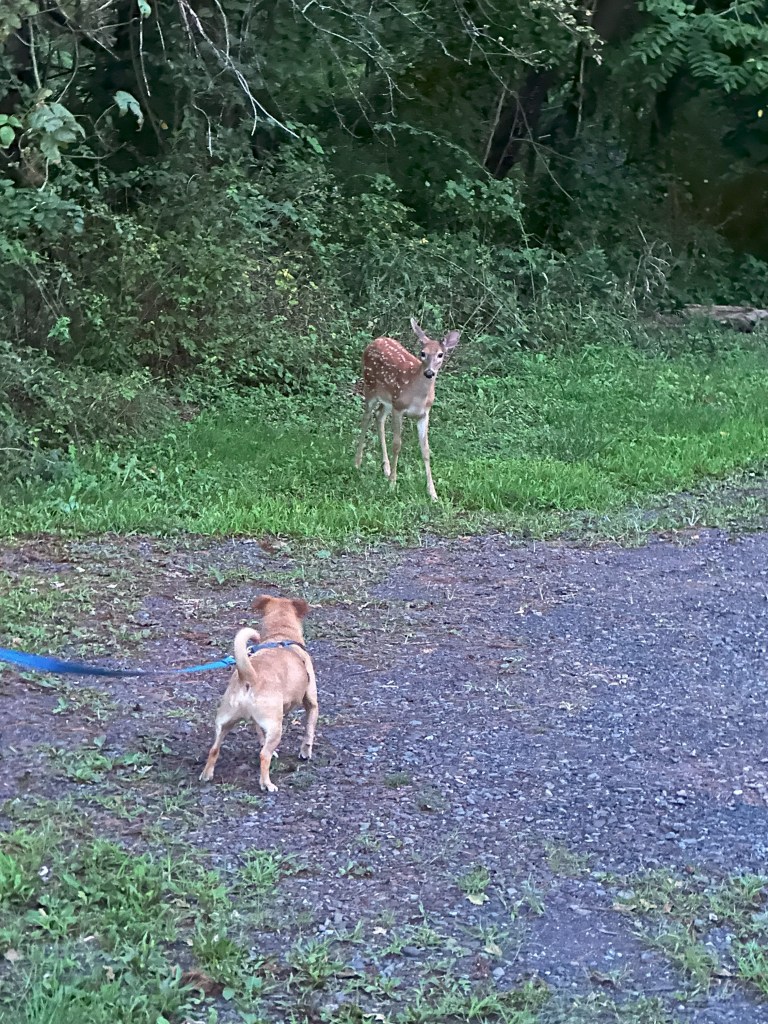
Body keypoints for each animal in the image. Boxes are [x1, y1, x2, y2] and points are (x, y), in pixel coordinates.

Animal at [354, 318, 461, 502]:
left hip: (387, 400)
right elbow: (397, 444)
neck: (417, 395)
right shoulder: (399, 407)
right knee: (366, 418)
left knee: (379, 416)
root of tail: (375, 341)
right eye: (423, 353)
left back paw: (386, 468)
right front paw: (392, 484)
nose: (429, 372)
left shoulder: (424, 414)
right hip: (370, 388)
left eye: (440, 354)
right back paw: (357, 463)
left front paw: (433, 493)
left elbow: (425, 450)